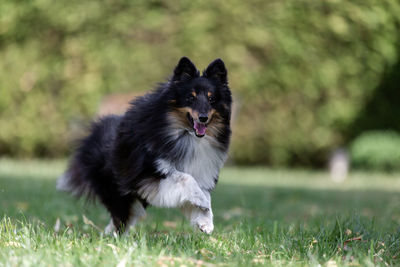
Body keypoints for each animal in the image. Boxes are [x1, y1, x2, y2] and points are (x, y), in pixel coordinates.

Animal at [56, 56, 231, 234]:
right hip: (118, 189)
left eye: (211, 99)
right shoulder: (147, 175)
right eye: (191, 97)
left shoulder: (200, 170)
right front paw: (202, 202)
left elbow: (200, 192)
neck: (185, 134)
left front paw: (205, 221)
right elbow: (185, 178)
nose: (203, 117)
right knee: (121, 216)